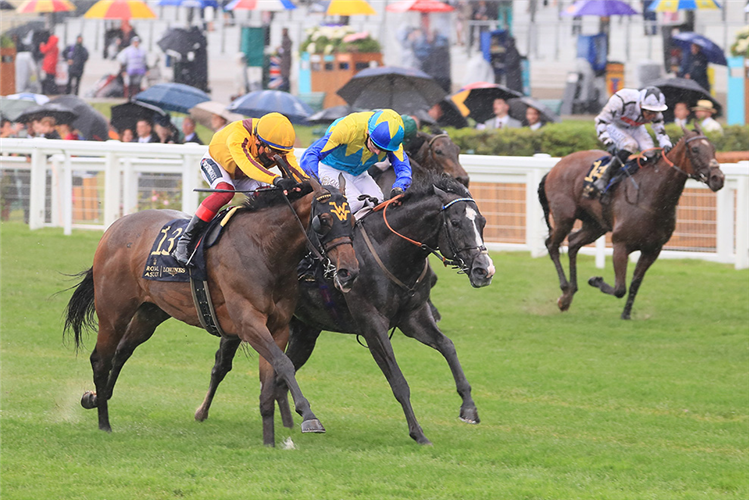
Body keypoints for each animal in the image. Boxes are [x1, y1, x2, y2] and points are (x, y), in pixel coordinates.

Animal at [61, 180, 360, 446]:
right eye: (324, 220)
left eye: (352, 221)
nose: (349, 271)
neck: (265, 248)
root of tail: (115, 227)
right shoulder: (248, 322)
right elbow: (284, 363)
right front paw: (308, 416)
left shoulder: (278, 327)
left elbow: (272, 374)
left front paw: (270, 440)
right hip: (113, 311)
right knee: (101, 359)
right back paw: (104, 422)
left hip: (151, 312)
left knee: (122, 351)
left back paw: (95, 397)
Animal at [196, 176, 494, 446]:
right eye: (455, 223)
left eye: (482, 222)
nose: (485, 270)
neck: (389, 250)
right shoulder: (372, 324)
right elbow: (398, 381)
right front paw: (418, 433)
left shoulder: (414, 317)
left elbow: (448, 346)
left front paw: (468, 408)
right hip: (241, 318)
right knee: (221, 365)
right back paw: (202, 412)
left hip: (304, 331)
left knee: (280, 372)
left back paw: (290, 421)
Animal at [536, 125, 724, 320]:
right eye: (695, 149)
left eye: (713, 148)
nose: (718, 178)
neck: (651, 194)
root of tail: (555, 167)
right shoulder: (621, 244)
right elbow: (620, 288)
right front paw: (595, 280)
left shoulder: (652, 249)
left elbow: (635, 283)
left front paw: (626, 314)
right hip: (564, 217)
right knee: (552, 245)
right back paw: (565, 291)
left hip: (595, 225)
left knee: (573, 243)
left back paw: (569, 294)